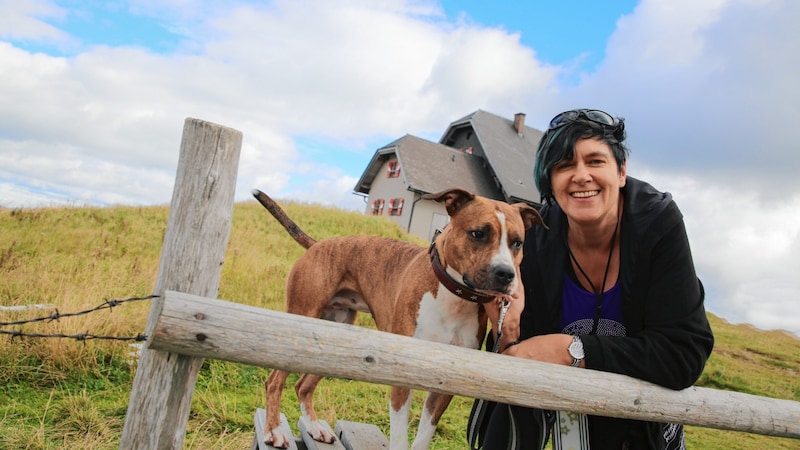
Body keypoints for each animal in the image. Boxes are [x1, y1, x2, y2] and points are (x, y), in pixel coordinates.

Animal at [253, 187, 548, 450]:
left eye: (517, 242)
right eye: (478, 233)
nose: (506, 274)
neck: (454, 296)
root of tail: (318, 245)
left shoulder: (446, 385)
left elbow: (424, 435)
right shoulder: (402, 378)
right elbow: (399, 436)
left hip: (331, 338)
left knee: (303, 386)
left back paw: (314, 428)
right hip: (300, 324)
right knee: (275, 381)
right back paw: (274, 431)